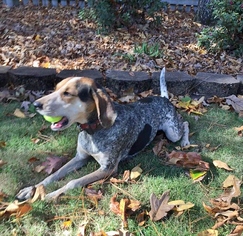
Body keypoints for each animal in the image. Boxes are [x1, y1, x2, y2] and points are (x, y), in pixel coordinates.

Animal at [16, 68, 190, 199]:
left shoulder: (108, 168)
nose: (36, 104)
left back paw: (185, 142)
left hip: (172, 132)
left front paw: (51, 195)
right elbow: (53, 175)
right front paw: (31, 189)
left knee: (185, 123)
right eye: (56, 88)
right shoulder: (80, 157)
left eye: (67, 93)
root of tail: (164, 99)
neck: (93, 131)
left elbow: (73, 182)